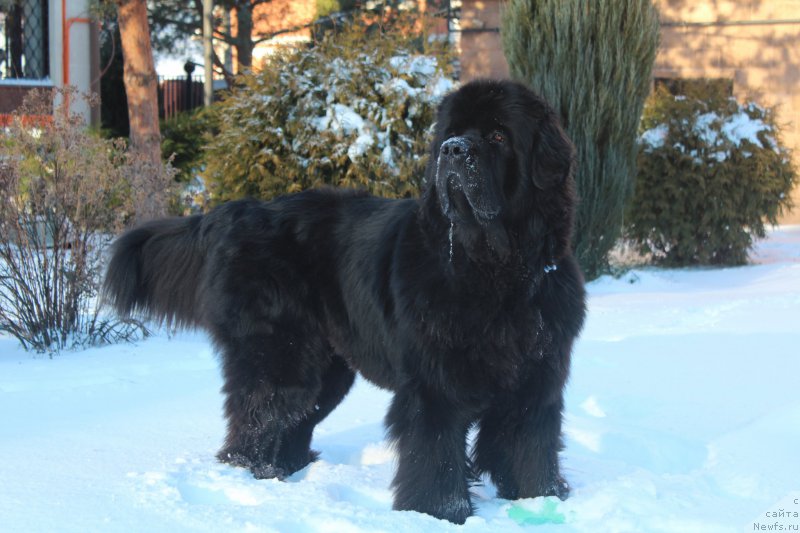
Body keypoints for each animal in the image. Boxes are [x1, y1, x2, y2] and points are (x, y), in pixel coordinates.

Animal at [103, 80, 584, 524]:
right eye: (452, 133)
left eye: (499, 136)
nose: (452, 149)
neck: (494, 271)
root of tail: (238, 210)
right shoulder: (434, 384)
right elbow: (436, 454)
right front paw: (438, 514)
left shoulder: (537, 377)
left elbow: (529, 446)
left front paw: (537, 500)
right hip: (278, 355)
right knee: (258, 417)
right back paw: (253, 479)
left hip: (326, 368)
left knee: (293, 421)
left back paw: (286, 473)